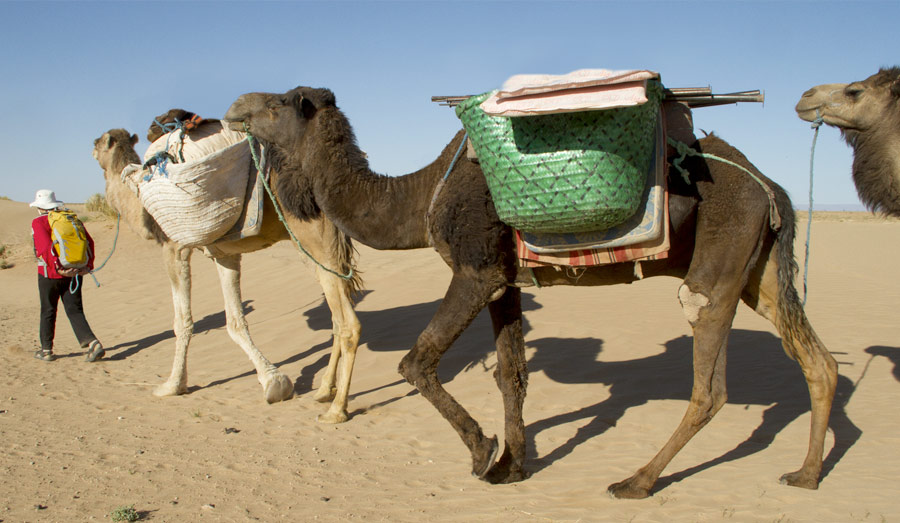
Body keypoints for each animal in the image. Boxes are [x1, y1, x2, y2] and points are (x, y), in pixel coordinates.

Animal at [89, 116, 362, 424]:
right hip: (313, 247)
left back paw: (337, 409)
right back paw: (324, 390)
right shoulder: (224, 255)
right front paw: (274, 382)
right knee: (336, 318)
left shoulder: (174, 247)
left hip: (315, 236)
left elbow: (182, 321)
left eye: (97, 142)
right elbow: (234, 321)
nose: (91, 149)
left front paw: (172, 385)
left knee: (348, 324)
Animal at [223, 87, 836, 500]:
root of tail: (771, 186)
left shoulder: (475, 269)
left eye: (278, 104)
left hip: (720, 253)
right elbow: (511, 372)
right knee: (816, 359)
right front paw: (512, 466)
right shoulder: (505, 279)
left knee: (709, 381)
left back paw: (636, 481)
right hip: (758, 270)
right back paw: (806, 475)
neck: (418, 198)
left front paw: (481, 452)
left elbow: (415, 362)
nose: (233, 107)